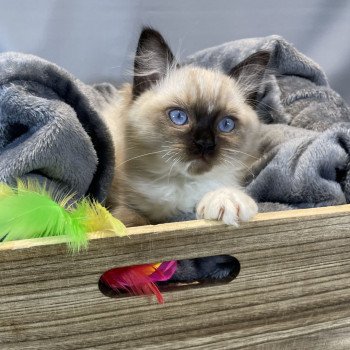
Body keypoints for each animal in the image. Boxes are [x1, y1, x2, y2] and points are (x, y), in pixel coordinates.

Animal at [102, 28, 270, 228]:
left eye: (226, 124)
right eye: (179, 117)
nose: (205, 143)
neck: (182, 184)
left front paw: (226, 200)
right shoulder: (125, 205)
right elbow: (132, 221)